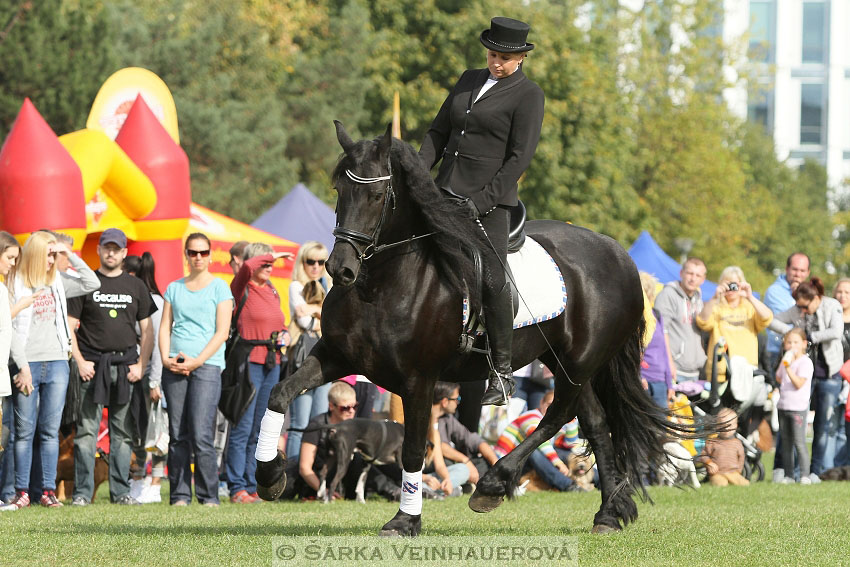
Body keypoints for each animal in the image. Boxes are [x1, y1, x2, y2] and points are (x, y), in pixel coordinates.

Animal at [255, 123, 692, 536]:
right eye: (339, 189)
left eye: (378, 196)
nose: (339, 268)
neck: (379, 287)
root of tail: (619, 255)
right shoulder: (336, 356)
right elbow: (279, 394)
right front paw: (269, 476)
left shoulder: (419, 380)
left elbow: (413, 450)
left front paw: (405, 521)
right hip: (565, 364)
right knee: (597, 426)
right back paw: (608, 514)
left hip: (581, 363)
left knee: (558, 415)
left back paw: (493, 484)